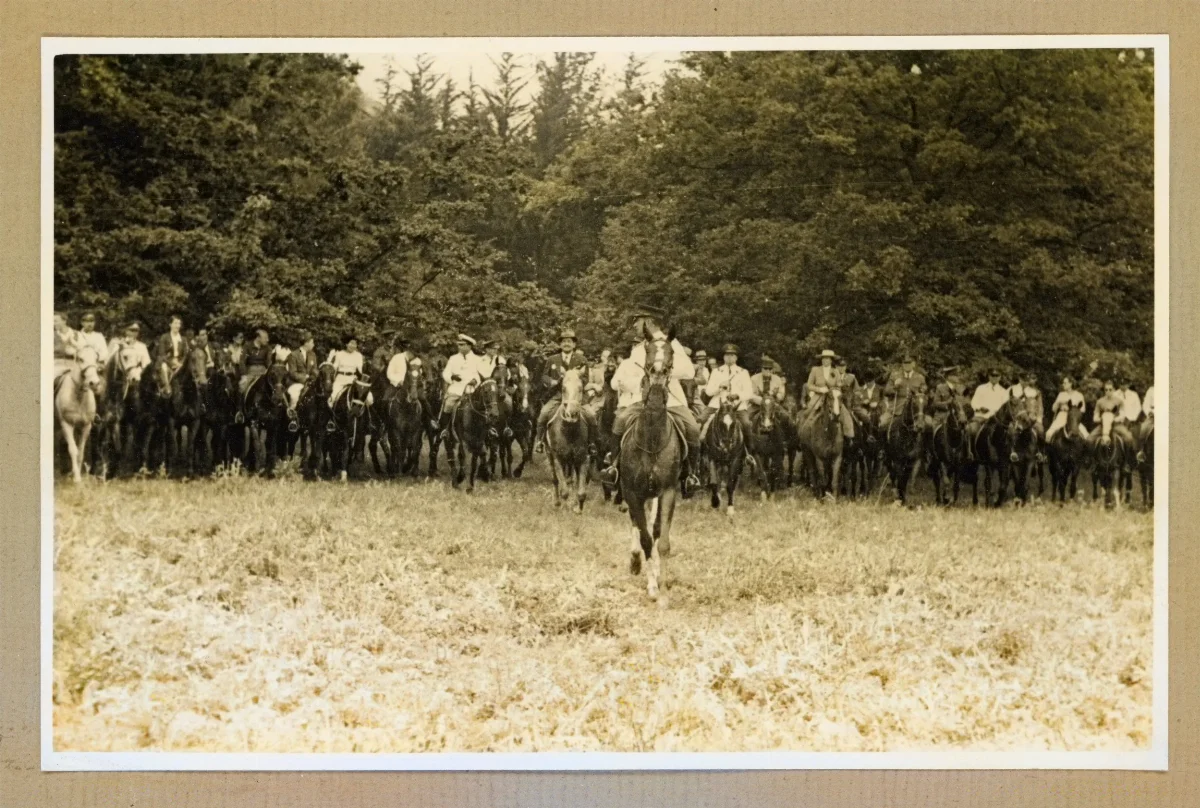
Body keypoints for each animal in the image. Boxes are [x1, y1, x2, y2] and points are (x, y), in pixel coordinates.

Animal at [54, 347, 102, 483]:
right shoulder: (66, 424)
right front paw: (77, 479)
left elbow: (80, 452)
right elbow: (73, 450)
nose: (94, 383)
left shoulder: (86, 426)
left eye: (96, 359)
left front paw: (77, 475)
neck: (79, 396)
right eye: (81, 359)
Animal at [545, 368, 593, 513]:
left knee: (571, 480)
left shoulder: (583, 458)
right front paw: (565, 508)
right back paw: (557, 502)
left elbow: (581, 490)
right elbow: (564, 490)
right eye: (563, 388)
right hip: (550, 455)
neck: (569, 430)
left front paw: (578, 509)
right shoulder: (558, 459)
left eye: (580, 388)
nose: (572, 413)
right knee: (555, 480)